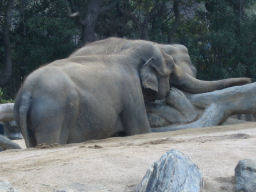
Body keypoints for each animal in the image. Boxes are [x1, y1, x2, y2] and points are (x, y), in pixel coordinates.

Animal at [14, 38, 250, 148]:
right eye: (170, 69)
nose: (248, 79)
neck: (128, 50)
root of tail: (27, 91)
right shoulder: (130, 92)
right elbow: (140, 130)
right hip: (53, 113)